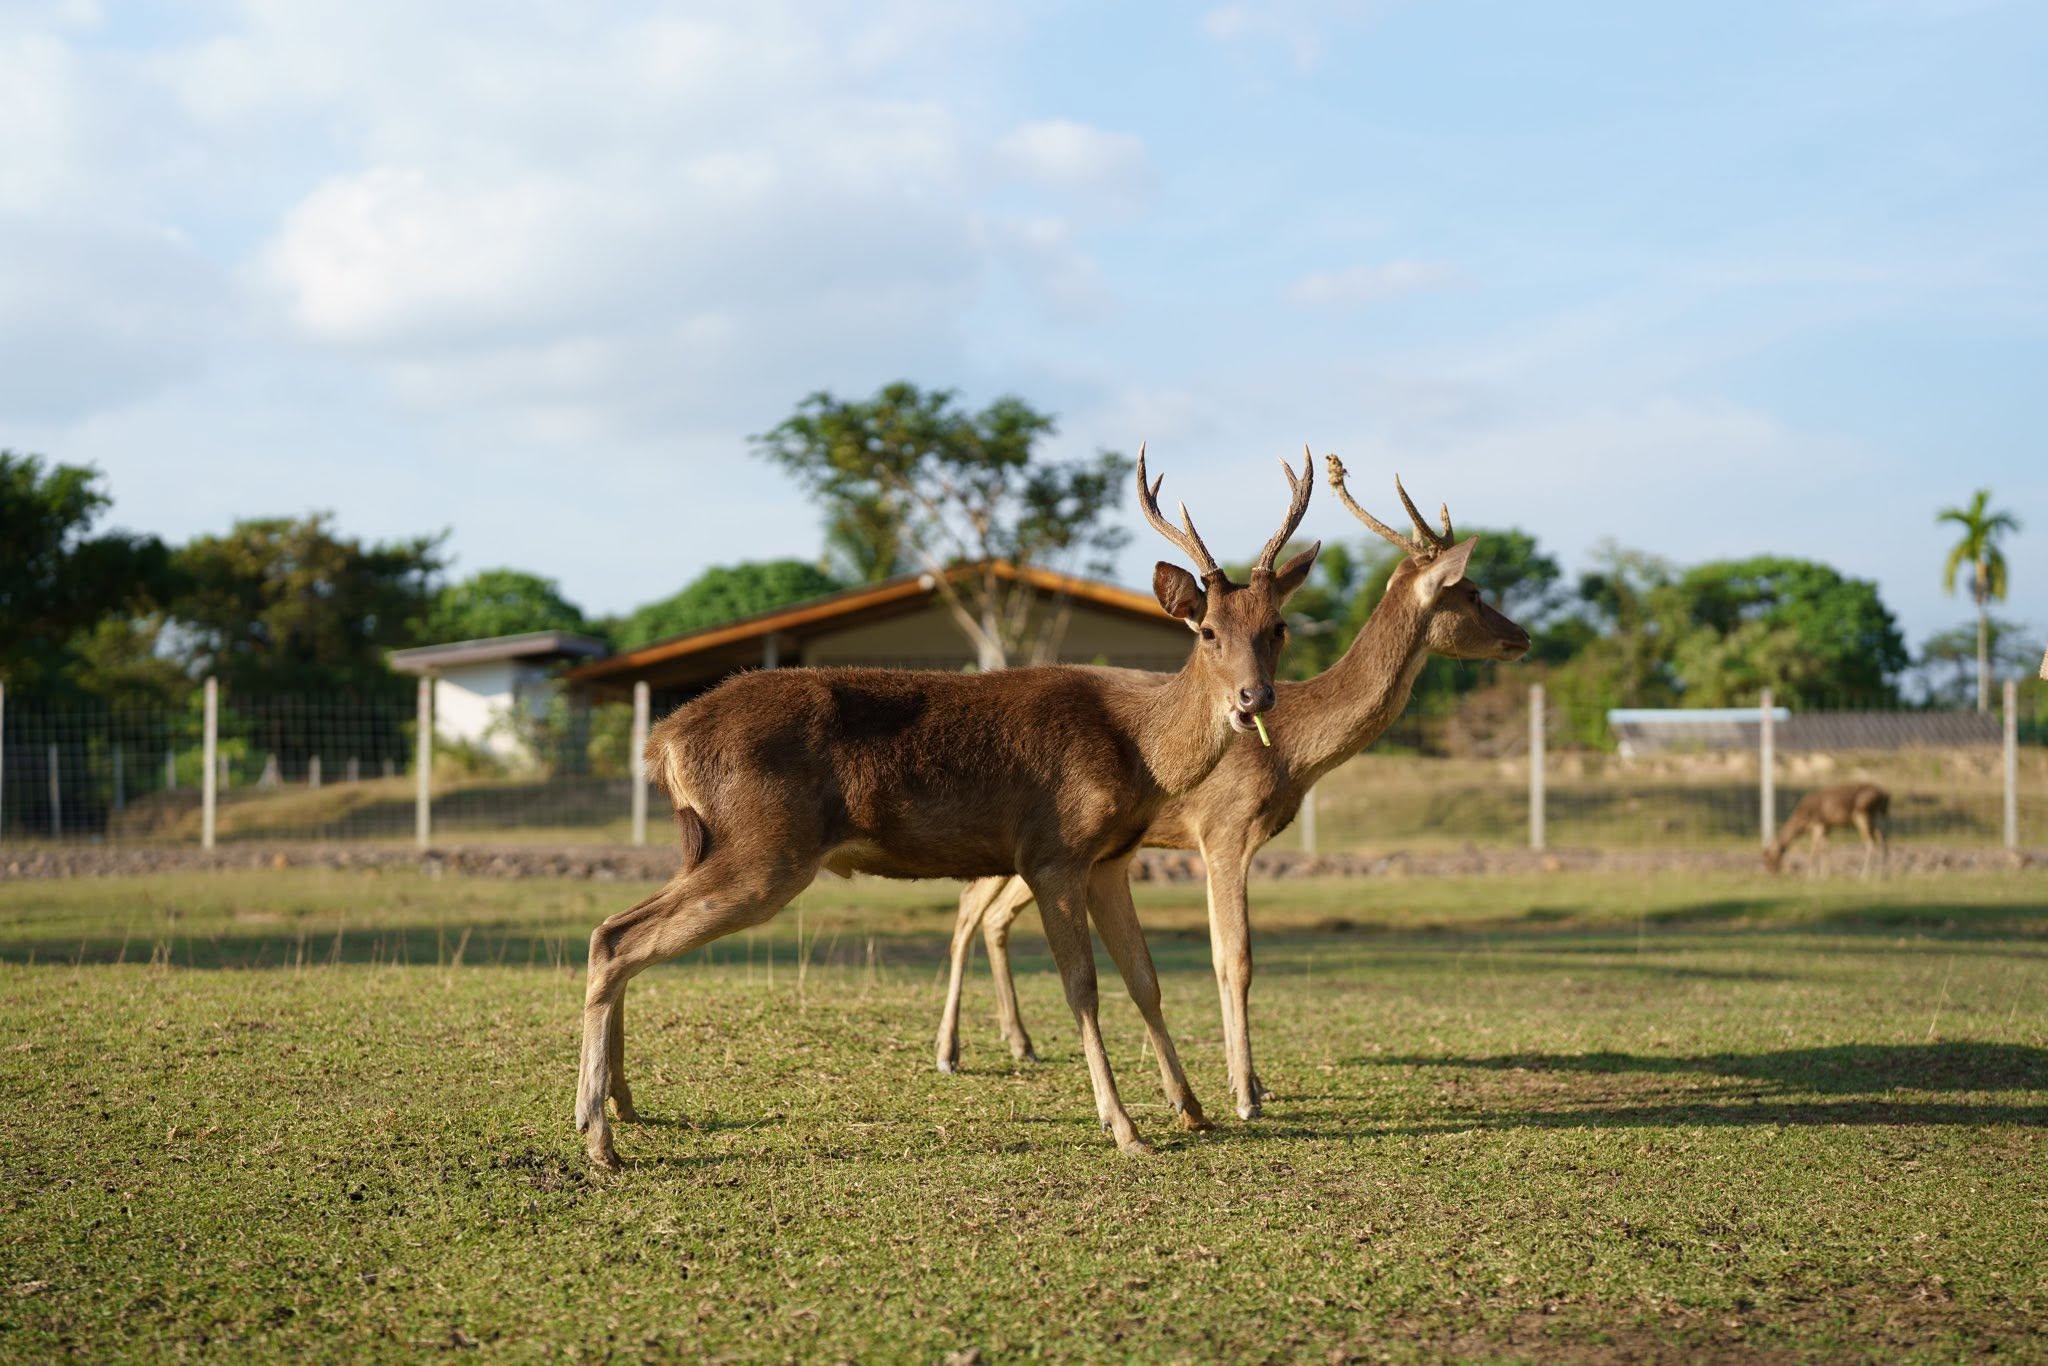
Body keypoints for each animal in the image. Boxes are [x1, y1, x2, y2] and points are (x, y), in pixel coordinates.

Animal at [575, 450, 1320, 1168]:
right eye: (1208, 632)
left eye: (1278, 627)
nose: (1254, 698)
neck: (1138, 751)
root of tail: (663, 742)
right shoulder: (1052, 851)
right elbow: (1082, 988)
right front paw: (1125, 1128)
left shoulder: (1111, 859)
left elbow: (1145, 979)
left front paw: (1192, 1109)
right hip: (765, 848)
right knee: (621, 938)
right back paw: (598, 1135)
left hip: (719, 845)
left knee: (613, 928)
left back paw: (622, 1106)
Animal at [934, 456, 1532, 1121]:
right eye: (1473, 592)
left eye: (1280, 626)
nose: (1522, 636)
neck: (1294, 752)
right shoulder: (1223, 828)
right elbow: (1234, 957)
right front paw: (1246, 1093)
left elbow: (1220, 954)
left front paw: (1245, 1081)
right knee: (967, 912)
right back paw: (950, 1053)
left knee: (988, 915)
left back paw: (1019, 1042)